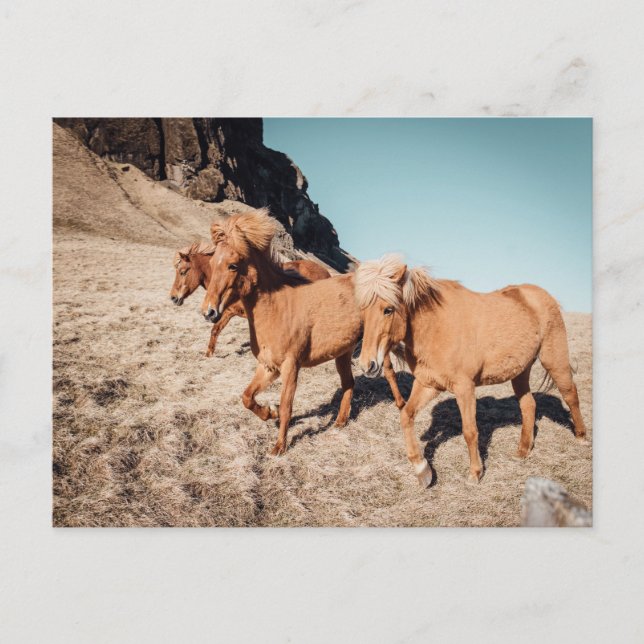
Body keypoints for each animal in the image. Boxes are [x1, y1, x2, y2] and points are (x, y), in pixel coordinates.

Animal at [169, 240, 331, 356]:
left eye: (183, 271)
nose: (173, 298)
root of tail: (325, 272)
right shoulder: (227, 313)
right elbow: (215, 330)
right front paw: (208, 354)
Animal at [200, 208, 406, 456]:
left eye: (232, 265)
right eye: (212, 262)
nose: (208, 312)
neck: (276, 309)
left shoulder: (291, 366)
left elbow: (287, 406)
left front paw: (279, 446)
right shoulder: (268, 367)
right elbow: (247, 397)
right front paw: (270, 412)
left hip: (375, 346)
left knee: (389, 371)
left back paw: (401, 405)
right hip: (343, 353)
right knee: (348, 383)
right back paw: (340, 422)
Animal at [354, 254, 588, 488]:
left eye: (388, 309)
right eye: (362, 311)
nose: (368, 365)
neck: (436, 327)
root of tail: (542, 295)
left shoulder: (464, 387)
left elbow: (470, 431)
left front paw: (475, 473)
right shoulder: (428, 384)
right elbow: (406, 416)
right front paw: (422, 470)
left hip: (554, 360)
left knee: (570, 394)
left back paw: (581, 437)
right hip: (520, 371)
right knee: (528, 405)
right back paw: (523, 450)